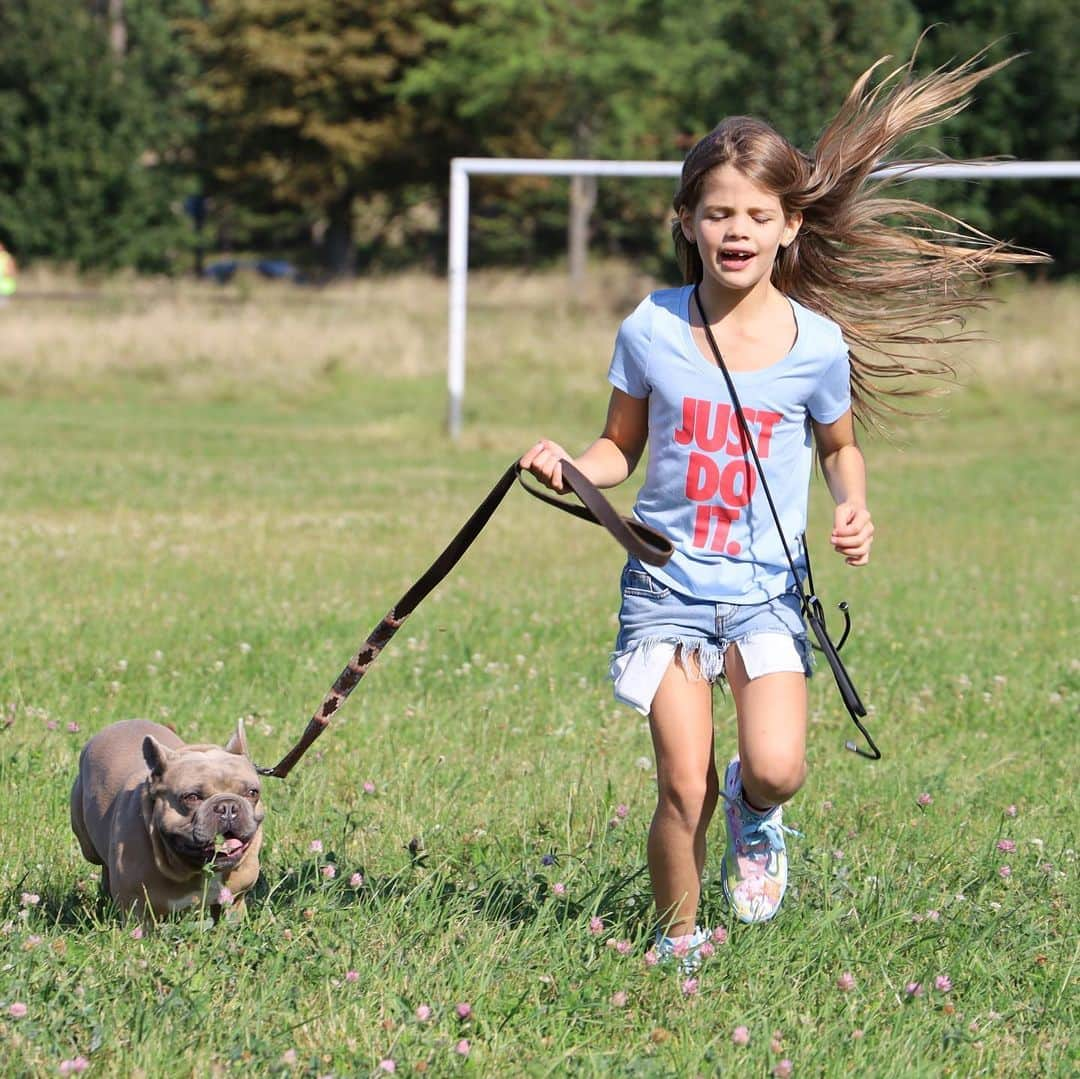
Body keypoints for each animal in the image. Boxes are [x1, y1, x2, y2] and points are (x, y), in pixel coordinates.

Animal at [71, 717, 263, 920]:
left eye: (253, 792)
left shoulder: (234, 900)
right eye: (191, 797)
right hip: (87, 844)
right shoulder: (135, 906)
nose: (227, 806)